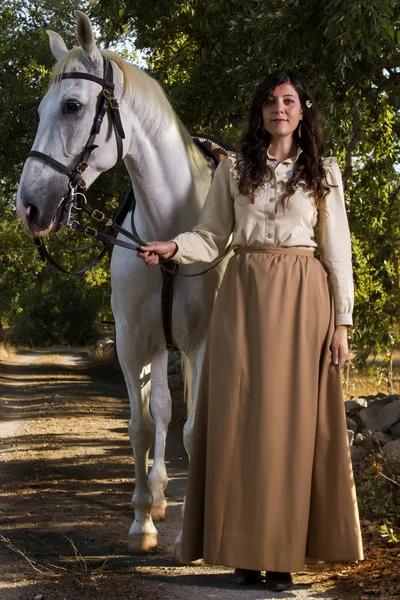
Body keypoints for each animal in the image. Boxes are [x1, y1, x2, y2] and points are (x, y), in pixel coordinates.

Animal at [16, 9, 228, 556]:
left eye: (72, 105)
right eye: (39, 108)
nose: (28, 207)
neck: (171, 228)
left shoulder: (203, 342)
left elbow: (194, 429)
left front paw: (190, 530)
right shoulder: (133, 342)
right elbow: (141, 427)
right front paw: (143, 521)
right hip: (156, 345)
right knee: (162, 410)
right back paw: (158, 498)